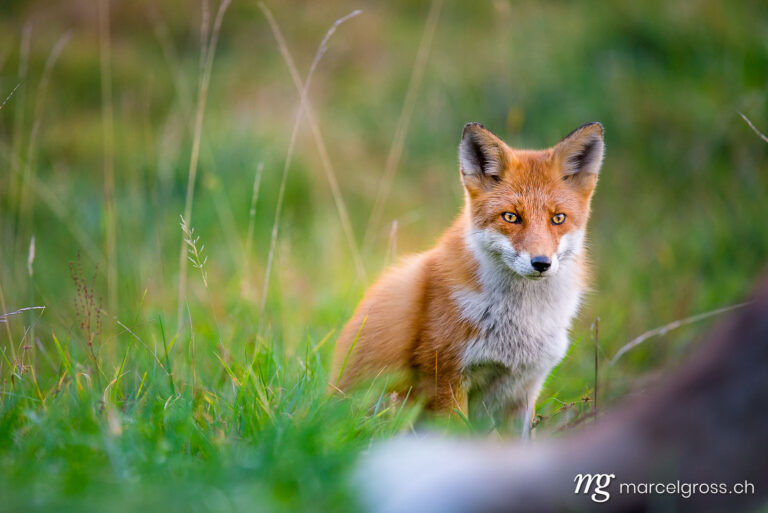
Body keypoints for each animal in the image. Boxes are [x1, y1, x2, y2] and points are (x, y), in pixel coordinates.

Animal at [332, 122, 604, 434]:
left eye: (558, 218)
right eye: (511, 217)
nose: (541, 263)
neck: (520, 325)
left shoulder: (523, 390)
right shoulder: (445, 375)